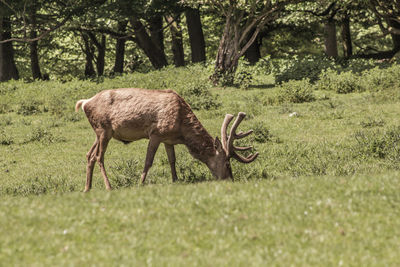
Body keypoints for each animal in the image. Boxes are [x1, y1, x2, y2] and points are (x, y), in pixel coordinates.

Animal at [75, 88, 258, 193]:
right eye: (227, 163)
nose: (230, 180)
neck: (182, 130)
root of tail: (84, 103)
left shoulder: (168, 140)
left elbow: (172, 160)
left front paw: (176, 180)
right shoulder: (156, 133)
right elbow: (148, 161)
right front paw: (140, 183)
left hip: (100, 133)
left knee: (89, 155)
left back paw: (87, 188)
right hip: (103, 129)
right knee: (99, 156)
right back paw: (108, 187)